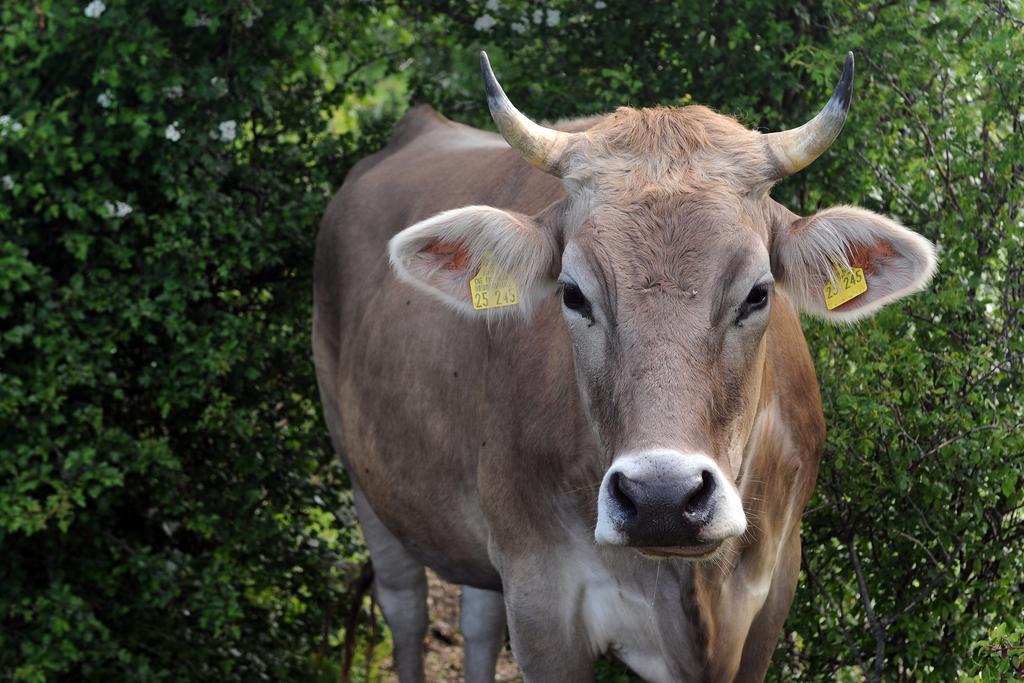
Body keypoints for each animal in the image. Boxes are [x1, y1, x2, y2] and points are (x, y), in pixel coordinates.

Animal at [311, 50, 937, 679]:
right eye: (572, 294)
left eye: (759, 293)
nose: (662, 499)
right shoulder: (540, 600)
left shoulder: (771, 595)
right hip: (366, 479)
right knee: (406, 607)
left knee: (478, 620)